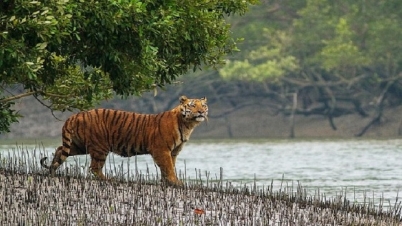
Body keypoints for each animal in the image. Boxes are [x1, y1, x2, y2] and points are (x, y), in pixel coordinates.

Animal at [40, 95, 209, 185]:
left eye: (203, 105)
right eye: (192, 105)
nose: (201, 111)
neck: (188, 124)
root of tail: (75, 115)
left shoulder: (173, 152)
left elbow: (169, 167)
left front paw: (168, 182)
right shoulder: (162, 150)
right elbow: (168, 167)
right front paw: (175, 182)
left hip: (79, 145)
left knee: (60, 150)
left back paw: (52, 170)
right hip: (100, 147)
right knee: (94, 168)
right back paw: (109, 179)